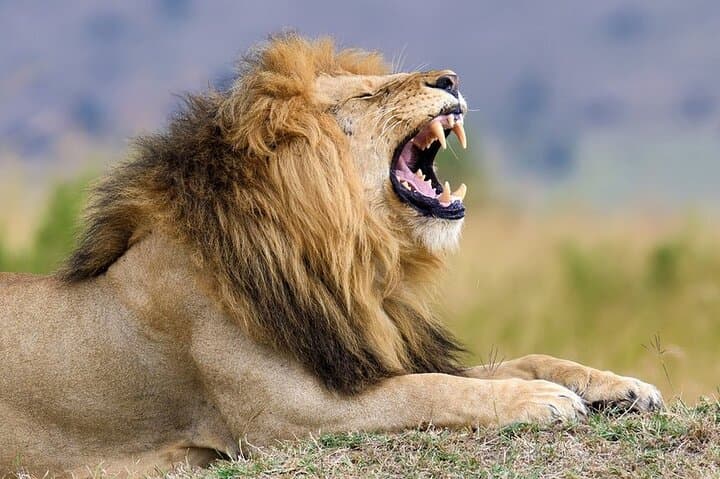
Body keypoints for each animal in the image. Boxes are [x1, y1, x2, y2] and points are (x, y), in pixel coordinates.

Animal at [0, 35, 662, 477]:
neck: (351, 261)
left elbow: (517, 361)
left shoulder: (361, 355)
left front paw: (618, 385)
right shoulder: (286, 418)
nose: (449, 79)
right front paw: (541, 402)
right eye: (370, 94)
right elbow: (432, 391)